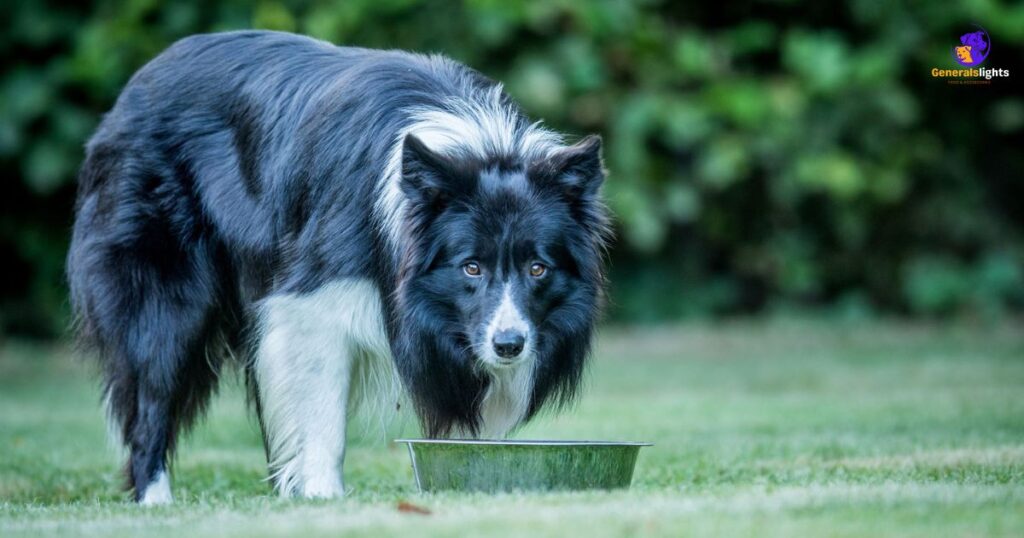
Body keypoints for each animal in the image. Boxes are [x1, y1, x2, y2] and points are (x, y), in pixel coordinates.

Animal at [70, 31, 606, 504]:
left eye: (538, 269)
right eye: (471, 268)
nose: (509, 346)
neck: (475, 146)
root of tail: (133, 88)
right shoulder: (311, 298)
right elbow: (323, 410)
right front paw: (324, 497)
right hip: (165, 293)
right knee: (152, 392)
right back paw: (155, 499)